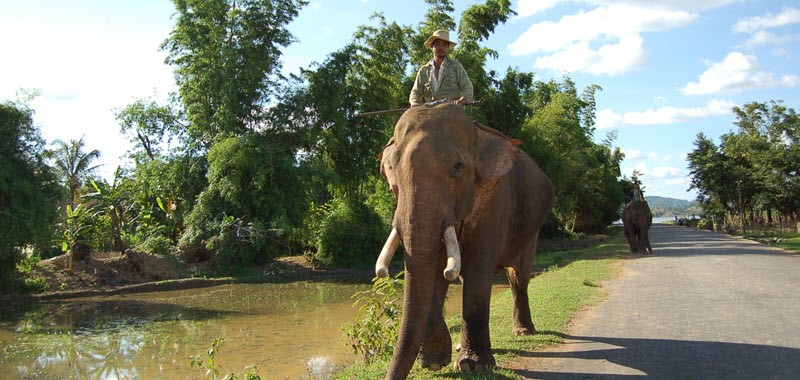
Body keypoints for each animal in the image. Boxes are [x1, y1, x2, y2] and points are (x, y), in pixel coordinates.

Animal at [372, 102, 552, 378]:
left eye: (457, 167)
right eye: (390, 169)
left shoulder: (497, 198)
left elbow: (478, 267)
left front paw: (472, 365)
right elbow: (434, 270)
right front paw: (435, 362)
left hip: (532, 227)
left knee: (518, 277)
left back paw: (523, 332)